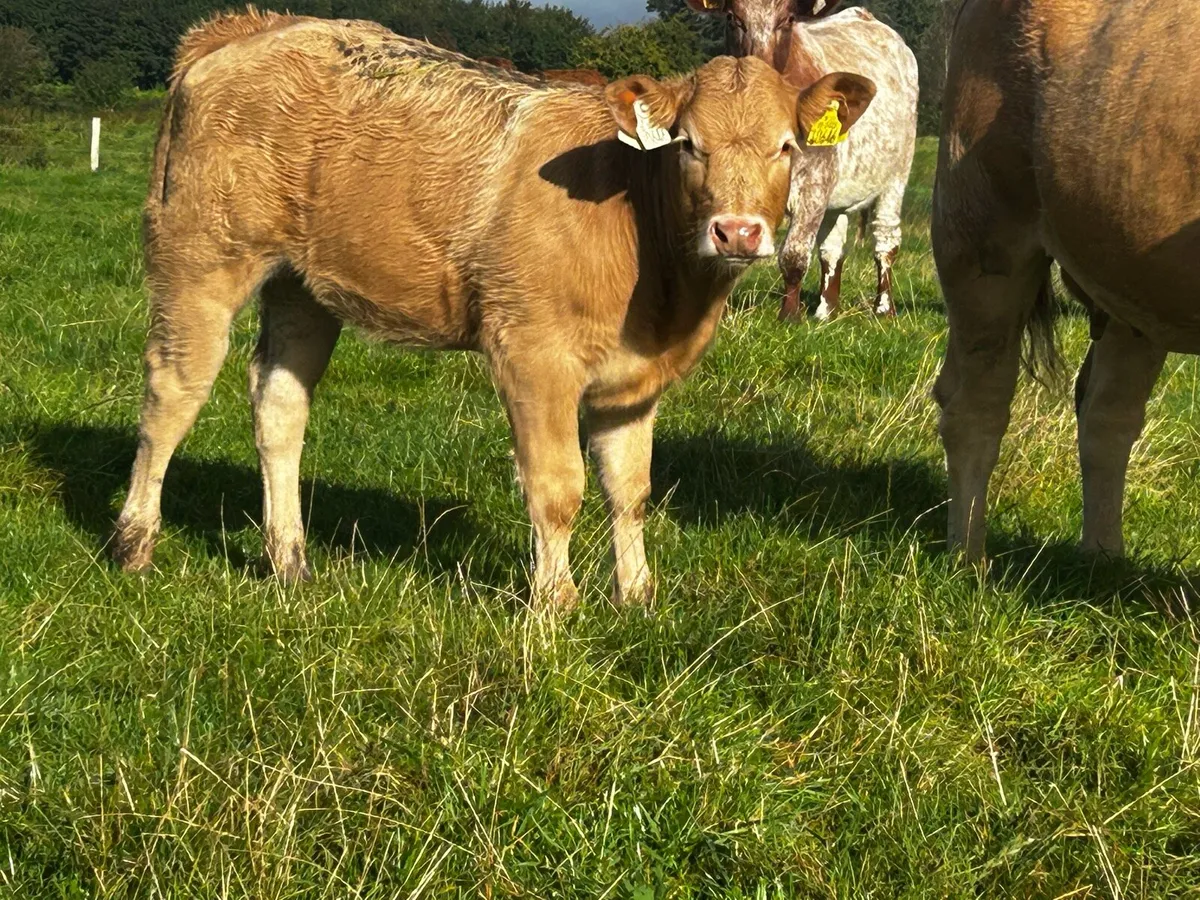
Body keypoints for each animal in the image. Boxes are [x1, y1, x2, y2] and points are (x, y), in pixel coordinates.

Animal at [112, 8, 875, 609]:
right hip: (199, 261)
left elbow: (630, 488)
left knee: (278, 406)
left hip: (302, 287)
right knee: (171, 395)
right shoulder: (533, 355)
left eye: (786, 145)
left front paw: (636, 597)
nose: (737, 232)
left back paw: (291, 561)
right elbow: (559, 486)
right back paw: (134, 544)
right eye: (690, 144)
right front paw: (556, 604)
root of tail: (250, 27)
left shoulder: (634, 379)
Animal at [687, 0, 918, 320]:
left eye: (787, 20)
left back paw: (883, 307)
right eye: (733, 18)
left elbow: (794, 255)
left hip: (895, 178)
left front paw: (789, 315)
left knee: (885, 241)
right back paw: (826, 311)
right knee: (833, 249)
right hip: (836, 194)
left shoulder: (813, 186)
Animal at [933, 0, 1200, 561]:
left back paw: (1104, 558)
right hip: (981, 239)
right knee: (976, 404)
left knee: (1107, 410)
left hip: (1128, 275)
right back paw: (969, 559)